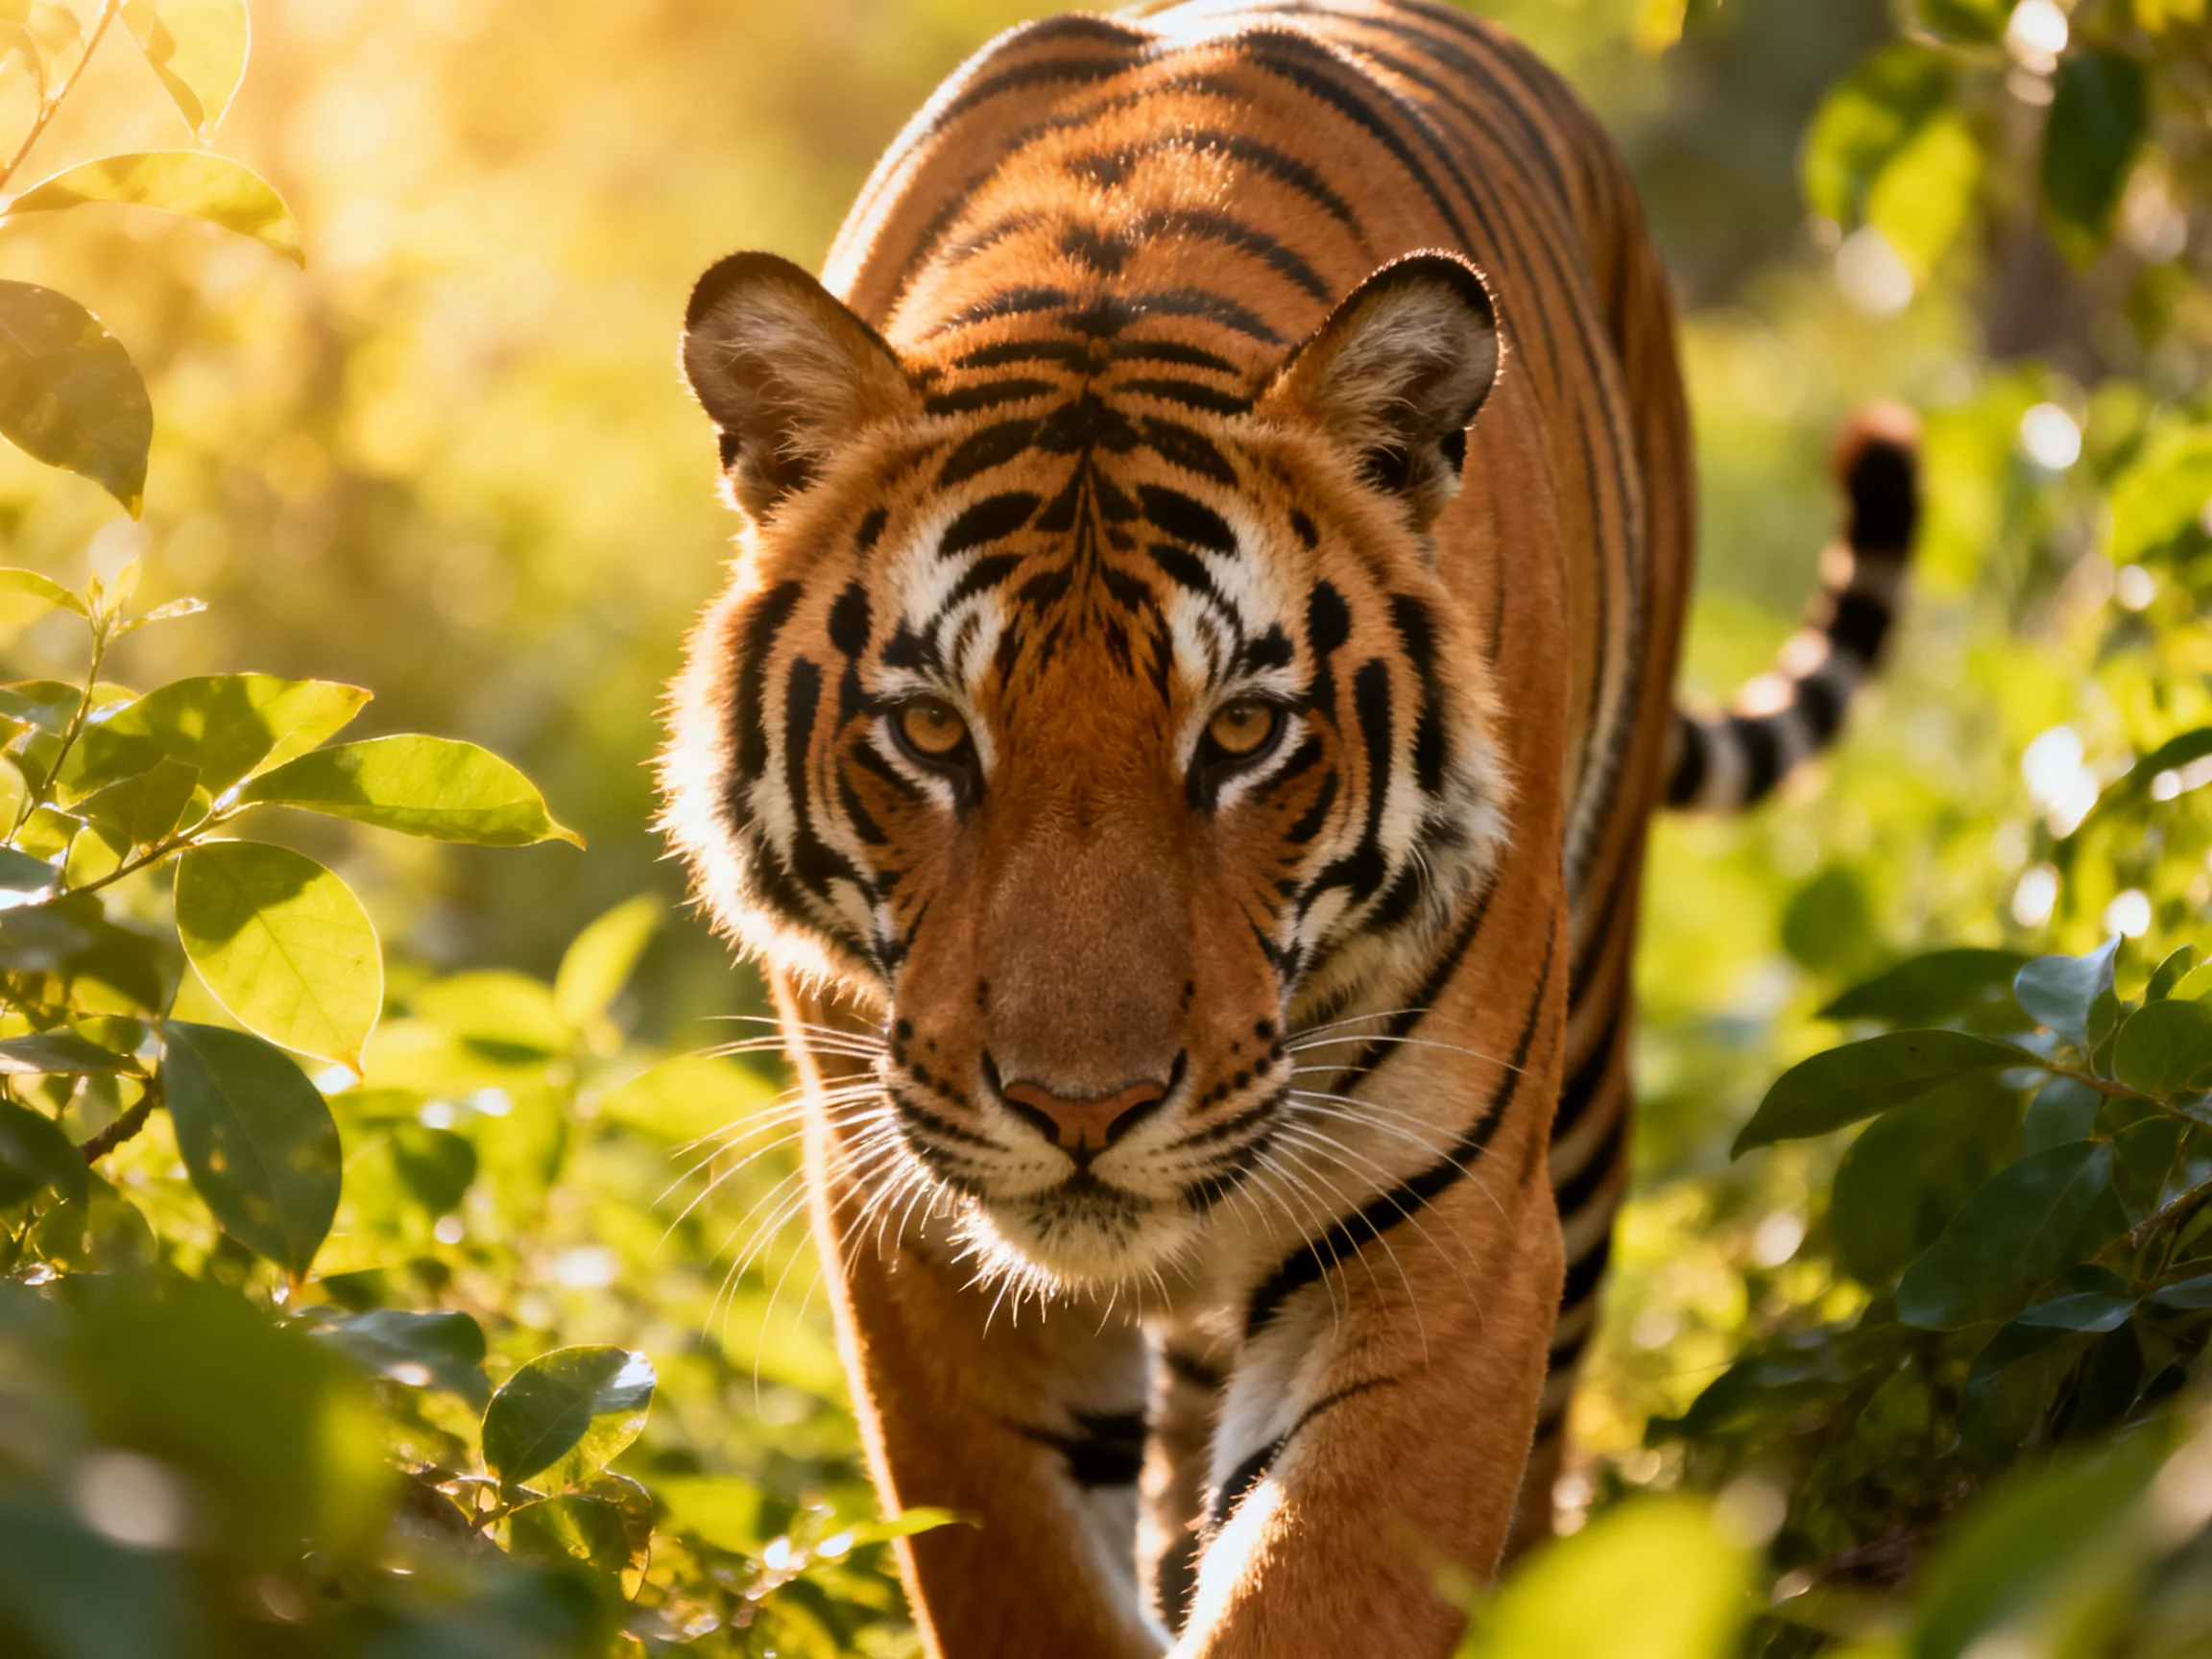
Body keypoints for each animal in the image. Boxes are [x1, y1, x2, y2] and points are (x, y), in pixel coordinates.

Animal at [659, 0, 1918, 1653]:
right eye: (932, 732)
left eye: (1244, 735)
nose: (1081, 1112)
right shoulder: (909, 1227)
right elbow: (1028, 1579)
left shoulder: (1443, 1228)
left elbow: (1328, 1588)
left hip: (1583, 1078)